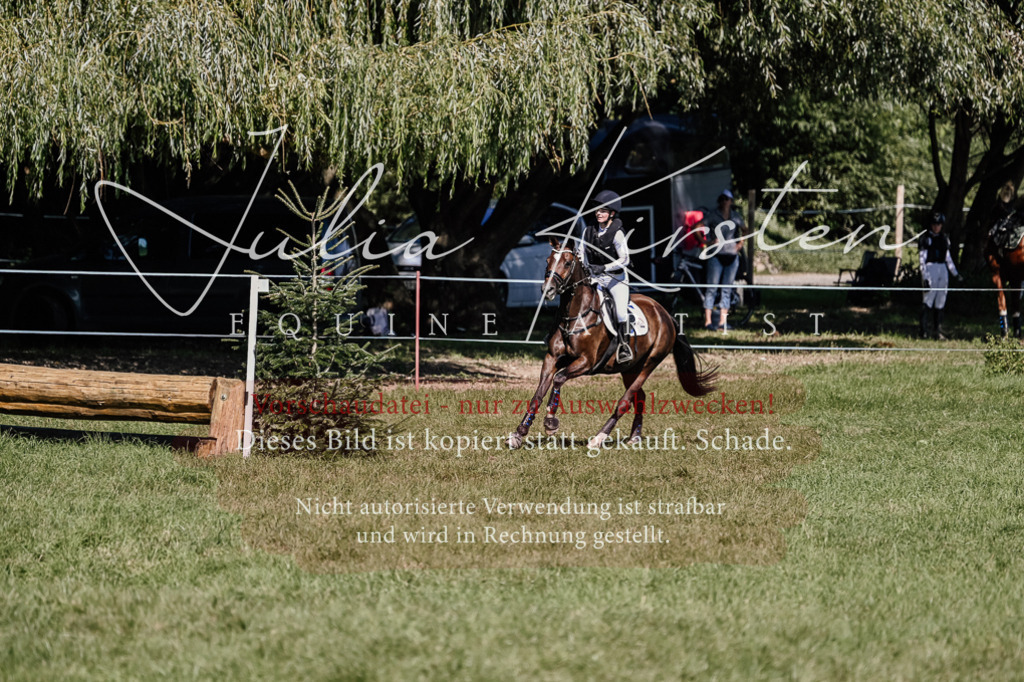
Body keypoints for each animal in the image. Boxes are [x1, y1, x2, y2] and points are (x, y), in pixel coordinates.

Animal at [507, 240, 717, 451]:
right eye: (548, 260)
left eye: (567, 263)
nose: (547, 290)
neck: (575, 315)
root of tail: (665, 314)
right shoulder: (552, 358)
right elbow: (538, 394)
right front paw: (519, 433)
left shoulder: (586, 362)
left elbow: (558, 379)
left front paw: (550, 422)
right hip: (630, 369)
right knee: (639, 397)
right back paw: (634, 437)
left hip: (649, 363)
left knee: (625, 401)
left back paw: (598, 438)